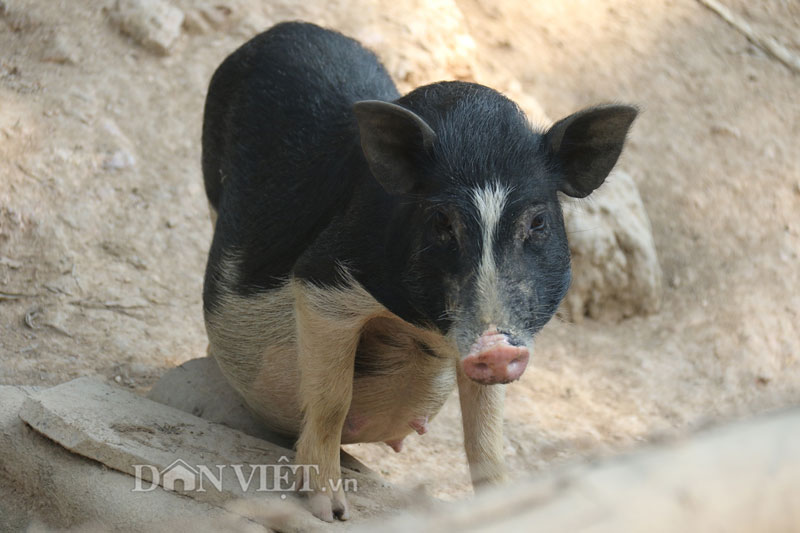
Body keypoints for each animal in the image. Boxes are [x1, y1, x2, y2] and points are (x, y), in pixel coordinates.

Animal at [200, 20, 636, 520]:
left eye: (538, 222)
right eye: (441, 221)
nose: (495, 348)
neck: (421, 328)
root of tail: (286, 28)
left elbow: (486, 437)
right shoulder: (324, 279)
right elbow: (332, 400)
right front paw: (332, 511)